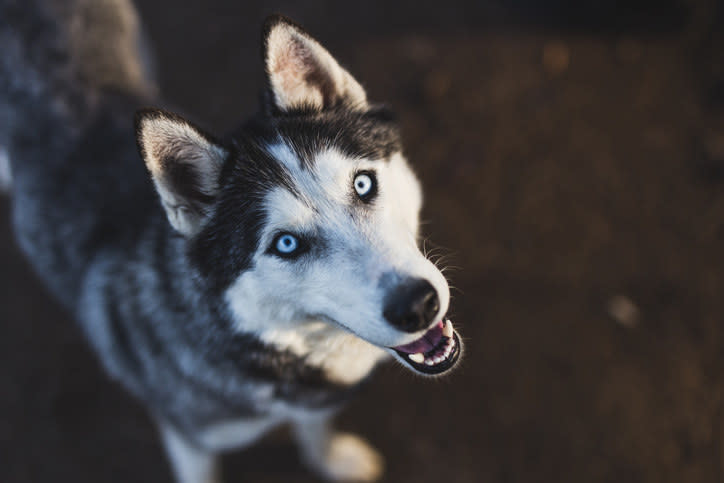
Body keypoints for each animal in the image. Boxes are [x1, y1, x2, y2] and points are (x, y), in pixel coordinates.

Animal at [0, 1, 464, 482]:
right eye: (285, 244)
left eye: (362, 183)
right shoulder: (189, 439)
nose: (417, 304)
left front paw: (332, 459)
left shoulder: (310, 405)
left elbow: (315, 428)